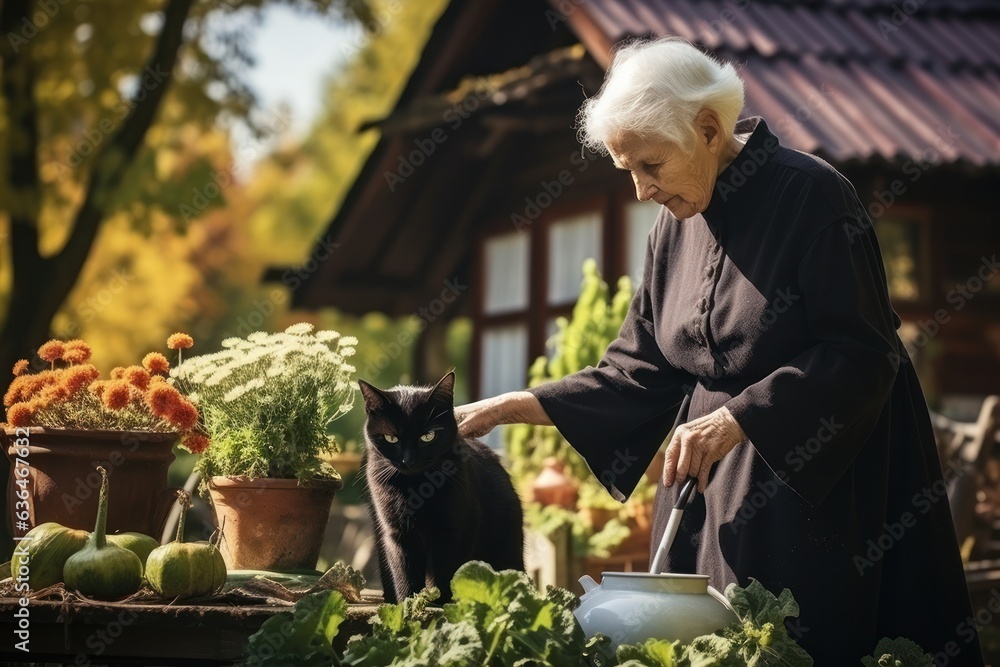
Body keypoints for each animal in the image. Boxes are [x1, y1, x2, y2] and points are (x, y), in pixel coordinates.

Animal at [358, 374, 524, 604]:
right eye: (391, 438)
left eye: (428, 436)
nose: (408, 460)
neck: (415, 486)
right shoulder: (397, 535)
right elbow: (403, 572)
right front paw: (407, 603)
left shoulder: (452, 533)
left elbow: (446, 573)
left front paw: (440, 602)